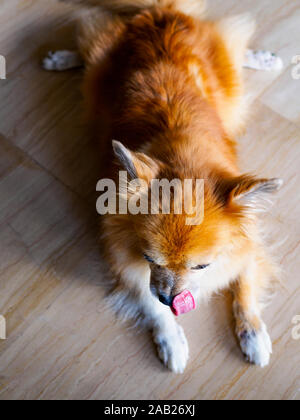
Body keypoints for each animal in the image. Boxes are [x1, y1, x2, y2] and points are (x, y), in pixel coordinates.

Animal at [44, 0, 282, 374]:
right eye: (148, 258)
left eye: (201, 267)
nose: (170, 297)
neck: (182, 156)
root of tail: (162, 12)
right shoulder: (125, 263)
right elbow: (151, 307)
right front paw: (171, 340)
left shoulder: (247, 243)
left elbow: (244, 287)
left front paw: (254, 335)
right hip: (98, 66)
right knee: (89, 40)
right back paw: (59, 58)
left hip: (229, 84)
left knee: (232, 43)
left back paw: (264, 58)